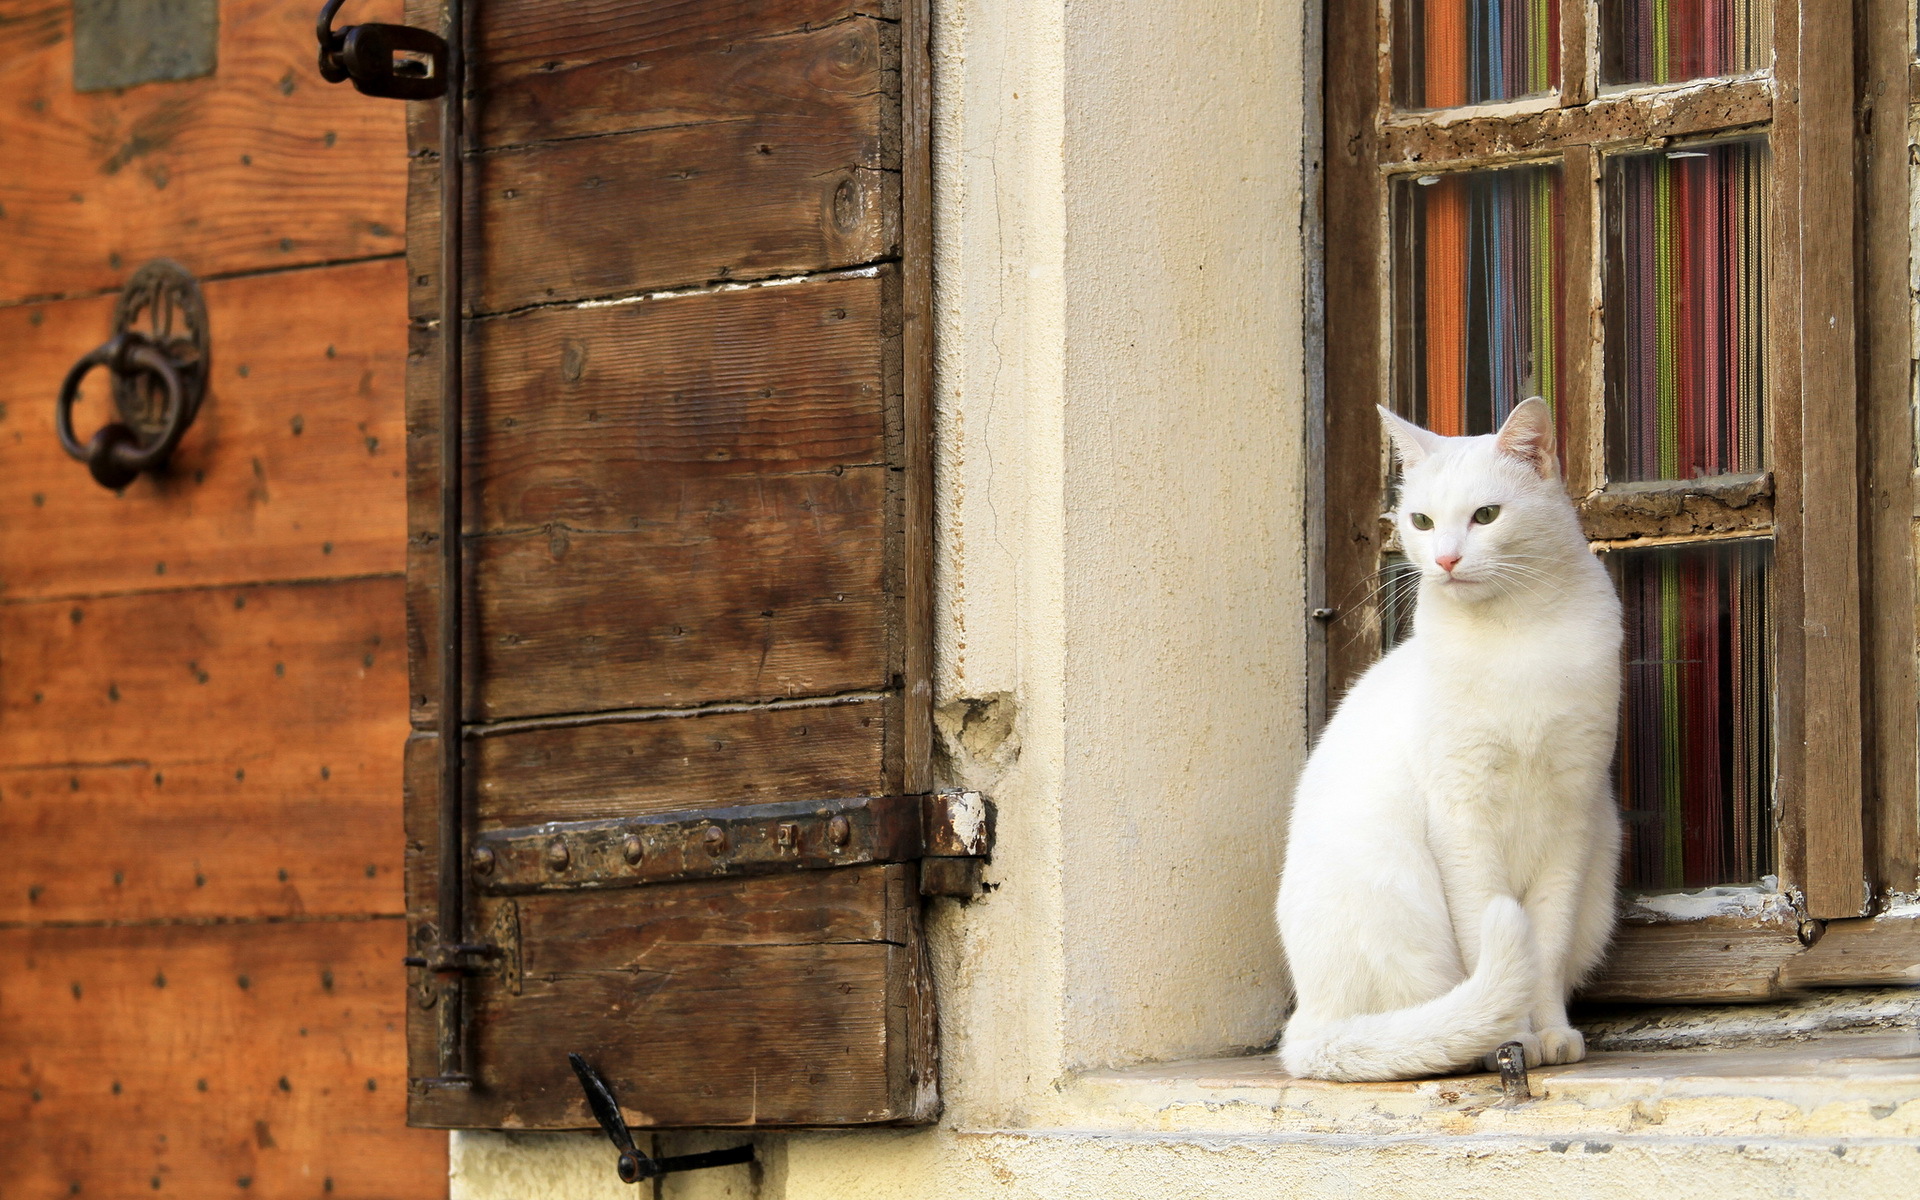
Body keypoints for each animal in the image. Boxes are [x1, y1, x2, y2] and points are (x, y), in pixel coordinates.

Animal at [1274, 397, 1620, 1082]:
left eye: (1485, 515)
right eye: (1423, 521)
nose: (1446, 561)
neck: (1517, 634)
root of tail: (1308, 1022)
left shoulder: (1574, 816)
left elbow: (1544, 948)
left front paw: (1549, 1034)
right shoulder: (1461, 814)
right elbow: (1488, 932)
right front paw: (1512, 1040)